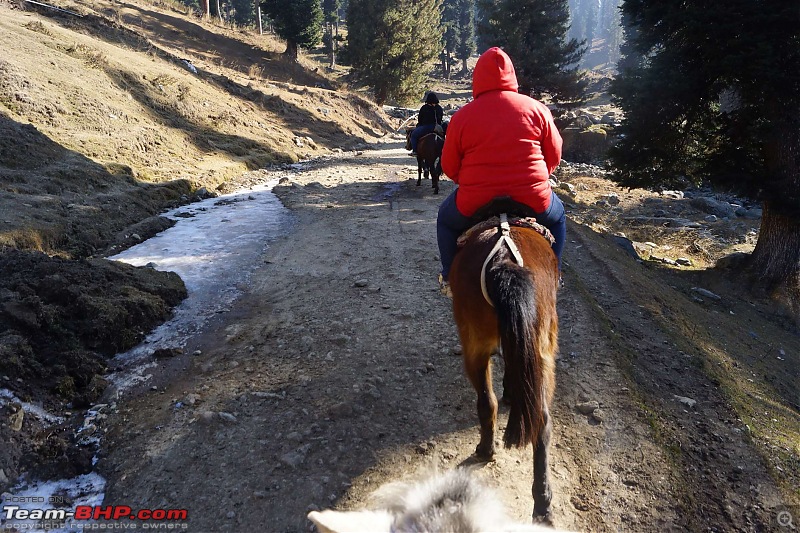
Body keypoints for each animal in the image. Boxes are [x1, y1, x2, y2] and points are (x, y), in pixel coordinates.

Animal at [446, 200, 560, 520]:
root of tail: (503, 260)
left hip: (474, 342)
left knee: (487, 401)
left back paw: (486, 450)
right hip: (541, 350)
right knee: (541, 421)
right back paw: (543, 504)